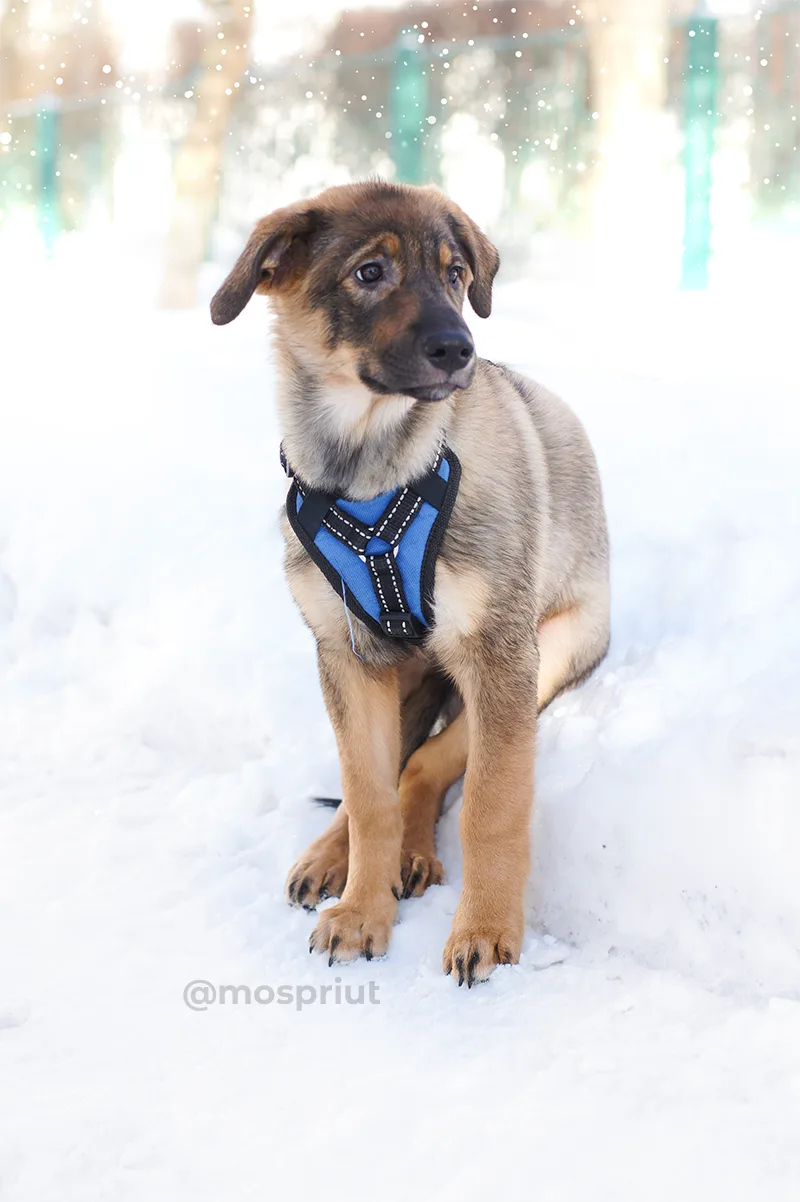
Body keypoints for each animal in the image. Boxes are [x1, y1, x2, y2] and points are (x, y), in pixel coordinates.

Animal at [209, 177, 607, 985]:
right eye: (370, 273)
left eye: (456, 274)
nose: (460, 349)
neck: (370, 466)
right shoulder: (344, 656)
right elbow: (367, 796)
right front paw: (363, 912)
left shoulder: (499, 655)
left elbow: (490, 801)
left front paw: (485, 928)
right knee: (386, 775)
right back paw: (335, 858)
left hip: (549, 652)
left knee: (430, 764)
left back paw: (417, 859)